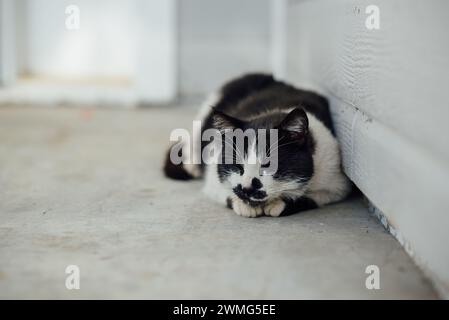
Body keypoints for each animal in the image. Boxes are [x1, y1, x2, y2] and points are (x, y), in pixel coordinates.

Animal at [164, 73, 350, 218]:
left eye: (268, 165)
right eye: (237, 166)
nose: (246, 187)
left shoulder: (336, 183)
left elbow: (308, 198)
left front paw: (278, 205)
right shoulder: (212, 179)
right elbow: (226, 194)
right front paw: (242, 205)